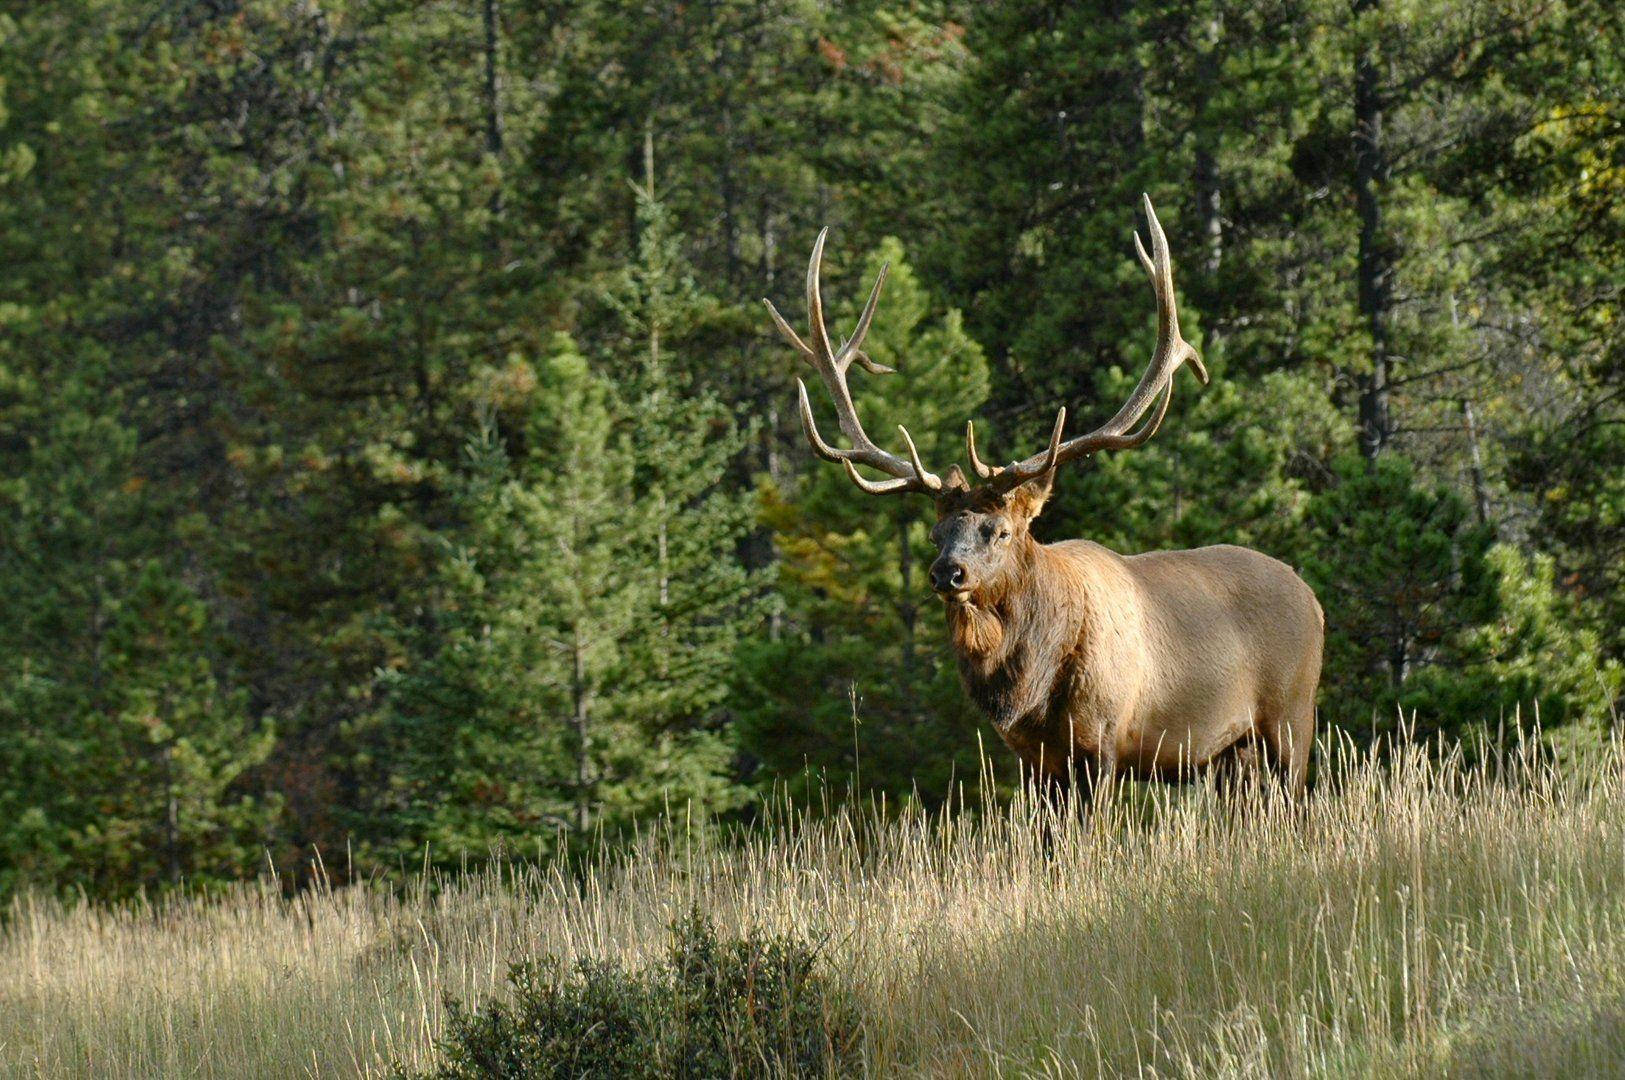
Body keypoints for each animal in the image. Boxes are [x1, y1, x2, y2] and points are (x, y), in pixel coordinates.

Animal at [763, 196, 1323, 805]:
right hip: (1230, 754)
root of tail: (1313, 599)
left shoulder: (1103, 738)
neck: (1032, 688)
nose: (947, 573)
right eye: (936, 533)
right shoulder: (1032, 757)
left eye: (1001, 530)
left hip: (1292, 718)